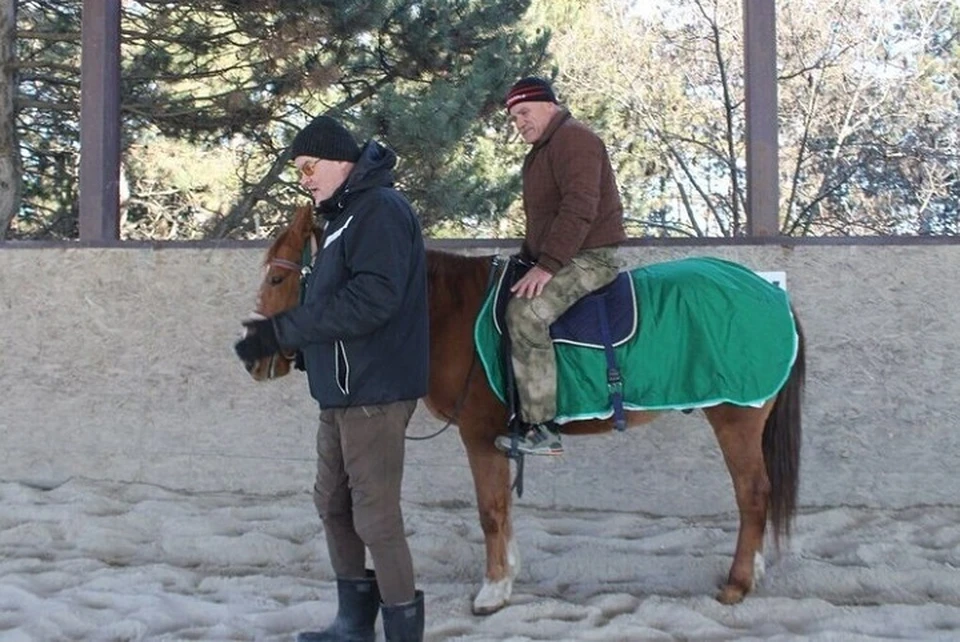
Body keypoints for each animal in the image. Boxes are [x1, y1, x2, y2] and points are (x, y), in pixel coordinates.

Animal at [246, 208, 804, 612]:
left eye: (276, 281)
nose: (252, 354)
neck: (449, 312)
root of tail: (766, 290)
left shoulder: (478, 435)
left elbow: (491, 511)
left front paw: (493, 590)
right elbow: (504, 510)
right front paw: (508, 576)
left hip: (735, 417)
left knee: (753, 494)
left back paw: (737, 583)